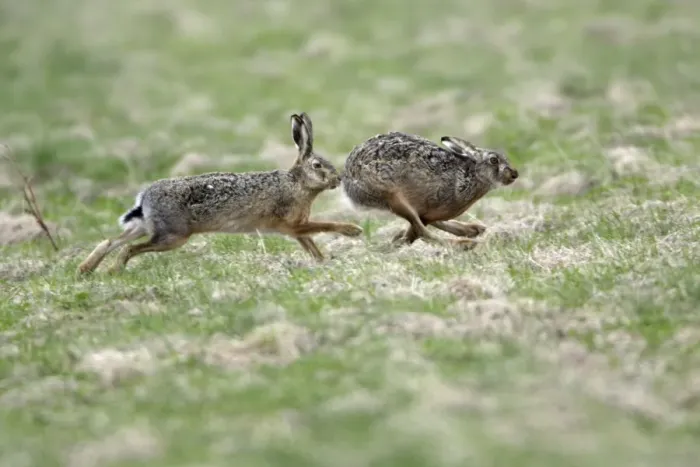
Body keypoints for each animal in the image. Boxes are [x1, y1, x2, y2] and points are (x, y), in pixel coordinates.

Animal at [77, 112, 364, 275]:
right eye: (317, 165)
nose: (338, 179)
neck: (297, 183)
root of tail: (144, 197)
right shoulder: (292, 224)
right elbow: (324, 225)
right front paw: (353, 231)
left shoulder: (296, 229)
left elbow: (311, 244)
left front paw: (323, 261)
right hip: (173, 236)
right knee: (129, 248)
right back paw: (113, 271)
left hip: (148, 227)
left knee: (112, 241)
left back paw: (86, 270)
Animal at [341, 131, 518, 248]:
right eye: (494, 160)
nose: (514, 174)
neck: (470, 175)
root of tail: (348, 175)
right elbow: (419, 228)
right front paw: (399, 241)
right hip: (391, 194)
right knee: (423, 230)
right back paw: (465, 242)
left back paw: (473, 230)